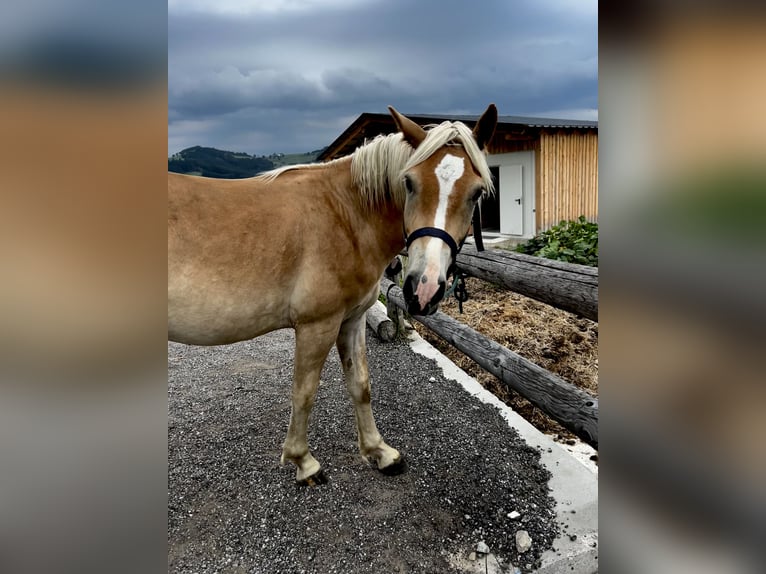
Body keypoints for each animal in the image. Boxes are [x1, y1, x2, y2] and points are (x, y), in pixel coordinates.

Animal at [168, 104, 498, 486]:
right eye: (409, 182)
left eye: (476, 192)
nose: (424, 287)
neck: (345, 214)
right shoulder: (317, 325)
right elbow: (304, 392)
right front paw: (304, 462)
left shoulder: (352, 320)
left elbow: (360, 384)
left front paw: (379, 452)